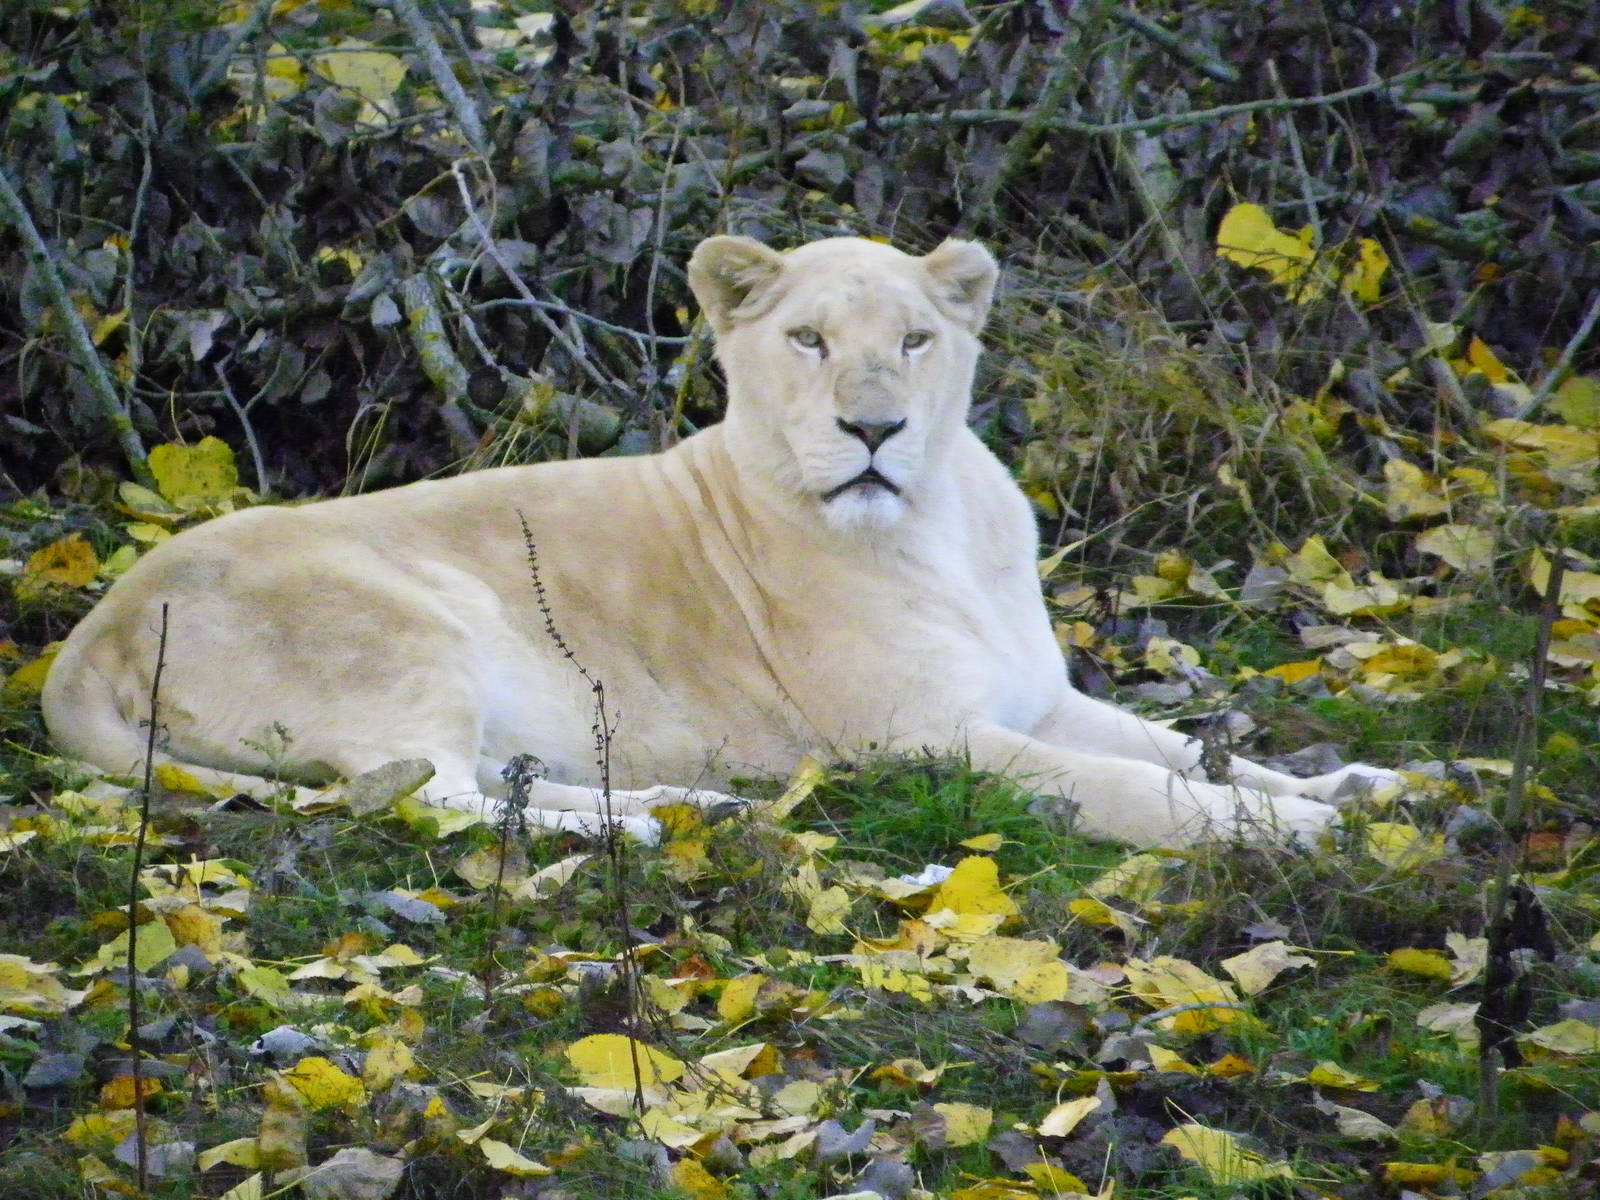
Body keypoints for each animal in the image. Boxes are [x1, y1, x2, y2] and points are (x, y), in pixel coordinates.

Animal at [42, 235, 1393, 847]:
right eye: (806, 340)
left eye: (915, 339)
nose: (873, 429)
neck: (942, 523)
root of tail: (84, 635)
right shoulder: (922, 742)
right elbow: (1127, 783)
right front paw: (1288, 835)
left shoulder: (1034, 699)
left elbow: (1194, 748)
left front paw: (1357, 788)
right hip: (408, 627)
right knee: (431, 800)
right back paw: (639, 826)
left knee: (474, 785)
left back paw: (689, 803)